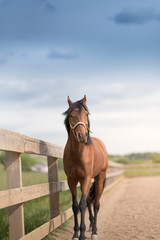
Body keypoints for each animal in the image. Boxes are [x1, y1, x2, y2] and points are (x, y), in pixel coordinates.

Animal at [63, 95, 108, 240]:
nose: (82, 136)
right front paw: (75, 234)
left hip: (99, 178)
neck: (78, 154)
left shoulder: (86, 178)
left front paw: (82, 235)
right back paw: (91, 224)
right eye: (71, 115)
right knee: (89, 202)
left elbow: (82, 205)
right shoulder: (71, 180)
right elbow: (75, 206)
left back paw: (94, 231)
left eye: (86, 114)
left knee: (96, 204)